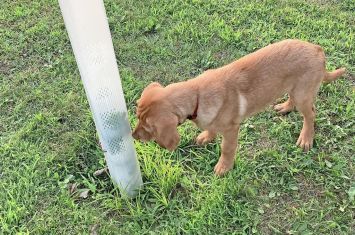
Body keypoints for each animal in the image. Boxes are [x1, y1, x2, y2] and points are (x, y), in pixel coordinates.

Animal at [131, 40, 344, 174]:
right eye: (137, 116)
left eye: (149, 128)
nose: (132, 136)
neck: (198, 94)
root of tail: (318, 49)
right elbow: (211, 129)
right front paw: (207, 136)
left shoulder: (232, 130)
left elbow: (227, 149)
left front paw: (224, 167)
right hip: (295, 88)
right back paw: (285, 107)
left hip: (303, 95)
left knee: (310, 115)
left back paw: (306, 137)